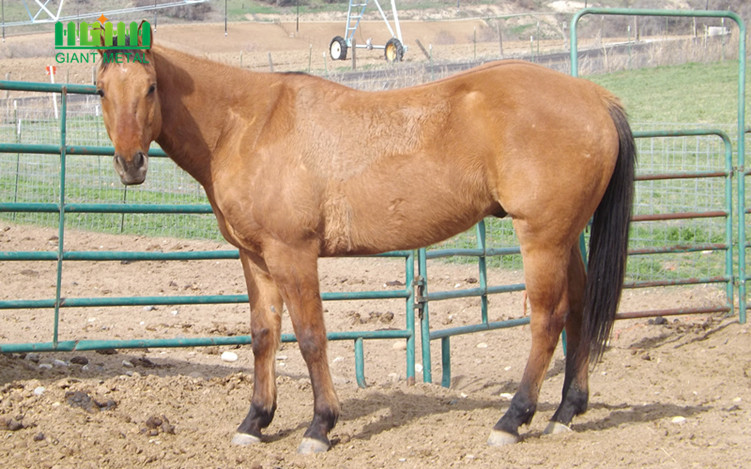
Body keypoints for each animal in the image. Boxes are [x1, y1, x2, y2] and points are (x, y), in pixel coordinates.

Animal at [94, 27, 636, 452]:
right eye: (100, 90)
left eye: (150, 87)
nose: (129, 165)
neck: (247, 125)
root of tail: (594, 97)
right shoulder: (255, 257)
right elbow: (264, 335)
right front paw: (255, 422)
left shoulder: (293, 254)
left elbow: (311, 337)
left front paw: (320, 426)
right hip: (565, 238)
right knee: (579, 310)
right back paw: (565, 413)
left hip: (542, 239)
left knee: (549, 319)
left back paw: (513, 419)